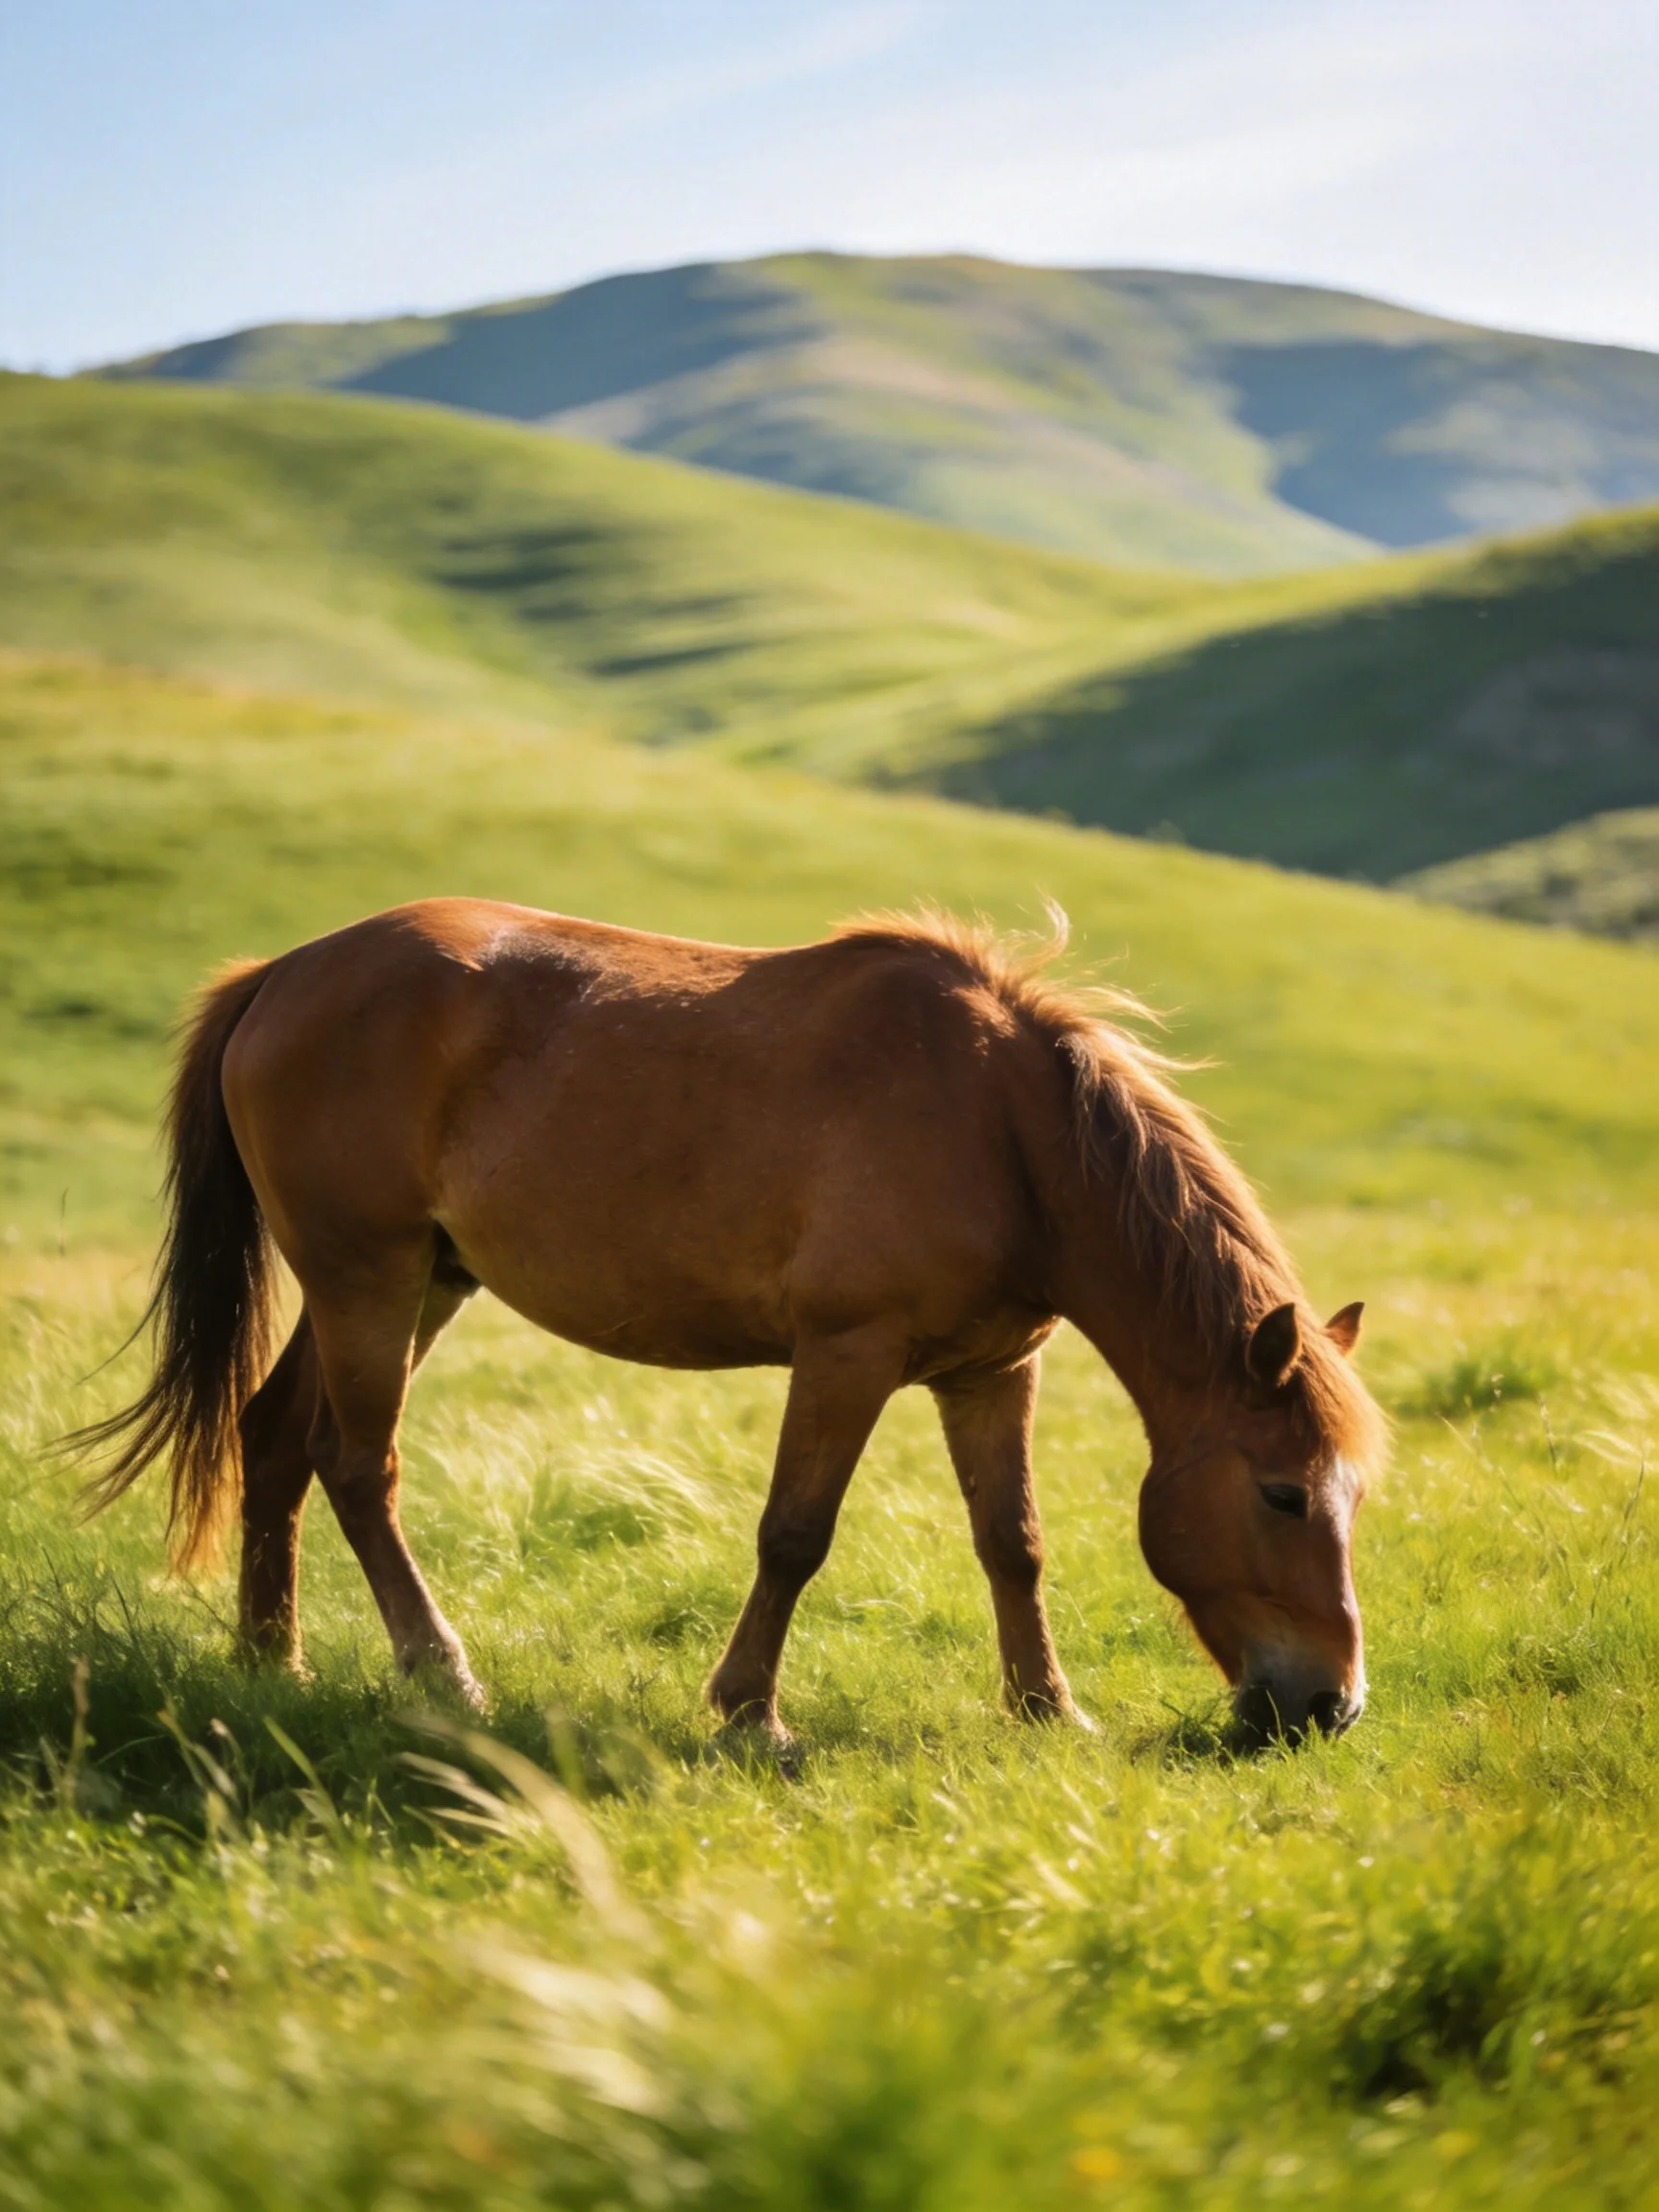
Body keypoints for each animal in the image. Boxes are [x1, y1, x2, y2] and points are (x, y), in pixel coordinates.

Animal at [70, 900, 1384, 1749]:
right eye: (1281, 1494)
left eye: (1352, 1498)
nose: (1330, 1707)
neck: (1003, 1132)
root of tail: (280, 974)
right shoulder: (846, 1354)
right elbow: (794, 1535)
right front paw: (751, 1714)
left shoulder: (994, 1372)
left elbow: (1013, 1542)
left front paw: (1046, 1708)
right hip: (368, 1282)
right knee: (358, 1466)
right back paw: (441, 1670)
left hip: (416, 1285)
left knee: (275, 1438)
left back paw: (269, 1661)